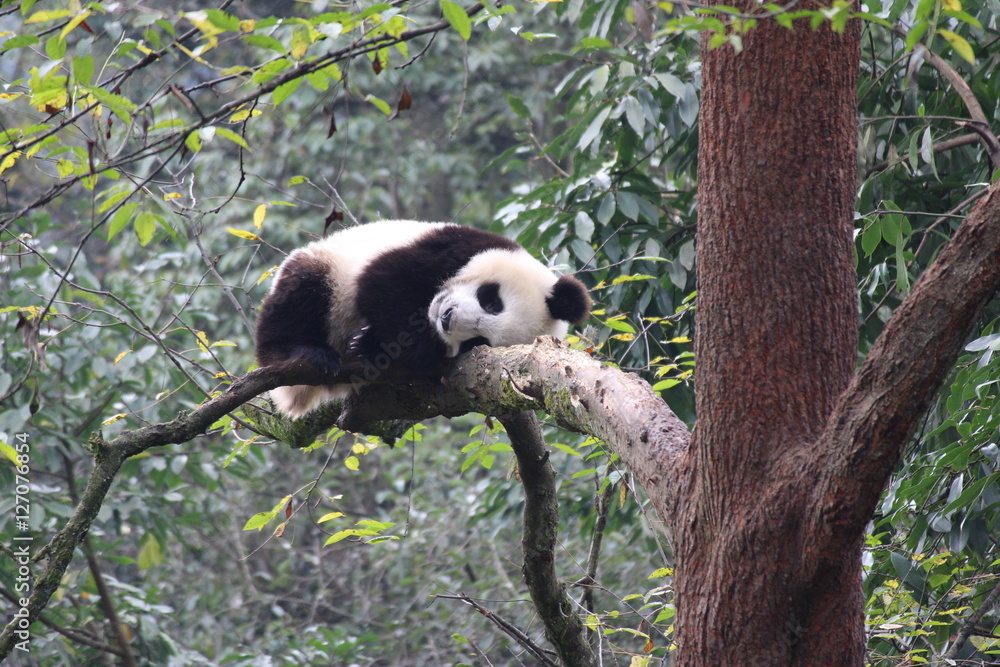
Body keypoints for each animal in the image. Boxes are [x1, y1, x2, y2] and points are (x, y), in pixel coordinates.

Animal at [254, 220, 591, 419]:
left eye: (477, 342)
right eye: (491, 301)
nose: (446, 318)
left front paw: (373, 345)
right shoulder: (453, 246)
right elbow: (384, 281)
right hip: (329, 270)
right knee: (301, 294)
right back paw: (301, 351)